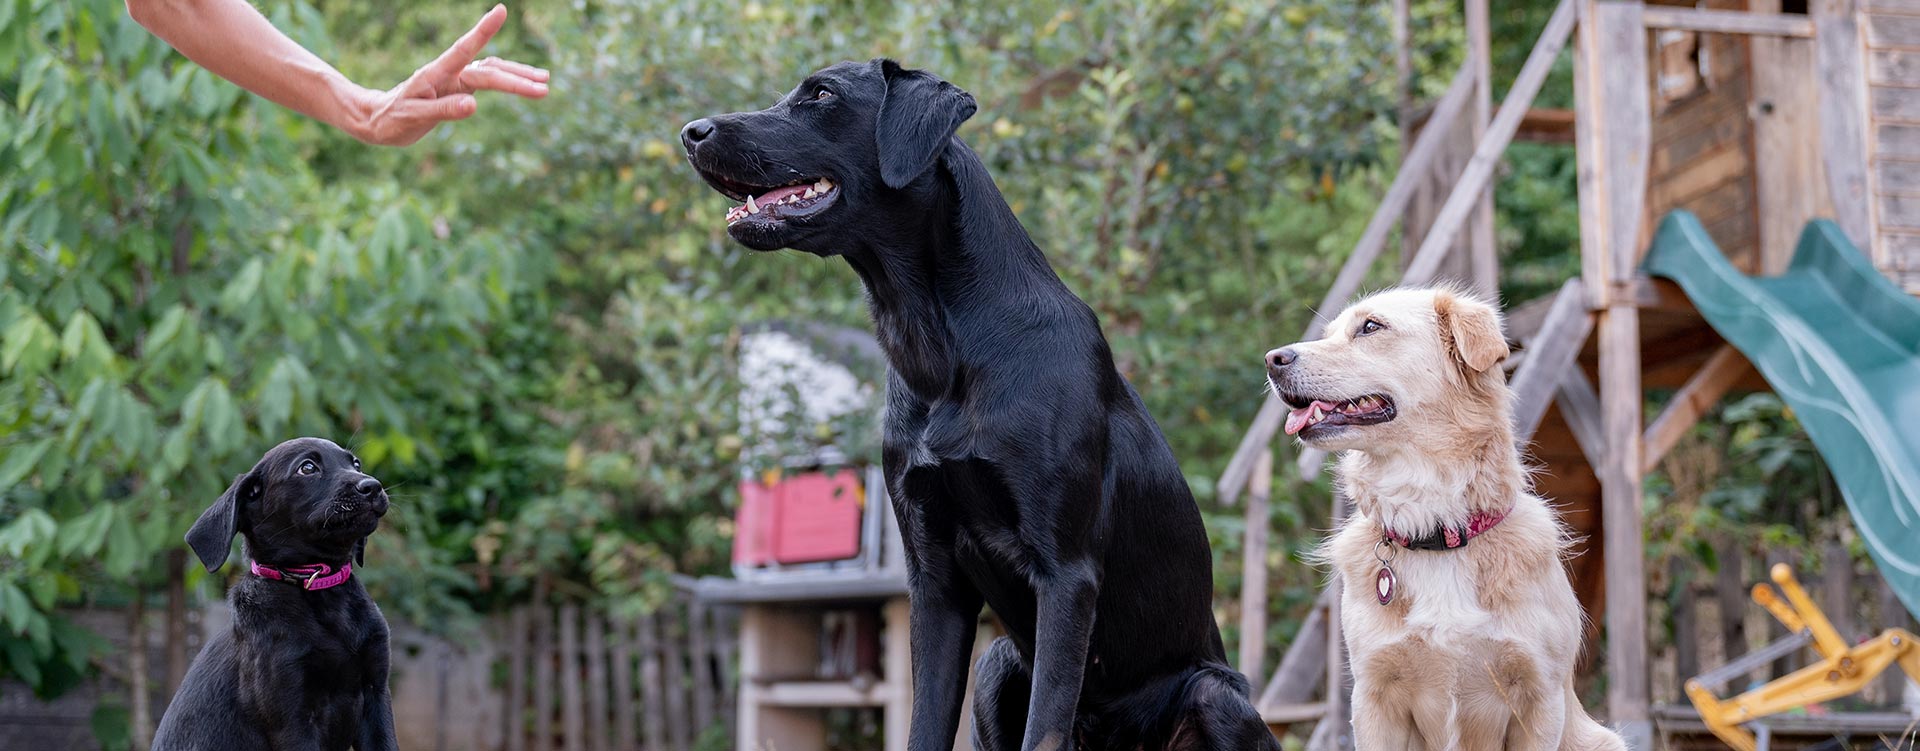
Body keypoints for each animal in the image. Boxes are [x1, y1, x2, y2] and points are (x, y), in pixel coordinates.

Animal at [155, 437, 399, 751]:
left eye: (355, 464)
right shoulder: (292, 718)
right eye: (307, 467)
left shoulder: (376, 693)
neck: (318, 585)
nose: (373, 486)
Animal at [683, 58, 1282, 751]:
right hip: (997, 667)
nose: (691, 131)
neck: (941, 347)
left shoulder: (1066, 573)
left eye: (822, 94)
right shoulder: (934, 576)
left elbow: (1043, 731)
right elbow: (923, 724)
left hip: (1216, 696)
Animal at [1267, 290, 1628, 751]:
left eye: (1370, 327)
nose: (1272, 358)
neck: (1435, 528)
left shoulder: (1539, 697)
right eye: (1329, 332)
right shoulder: (1374, 697)